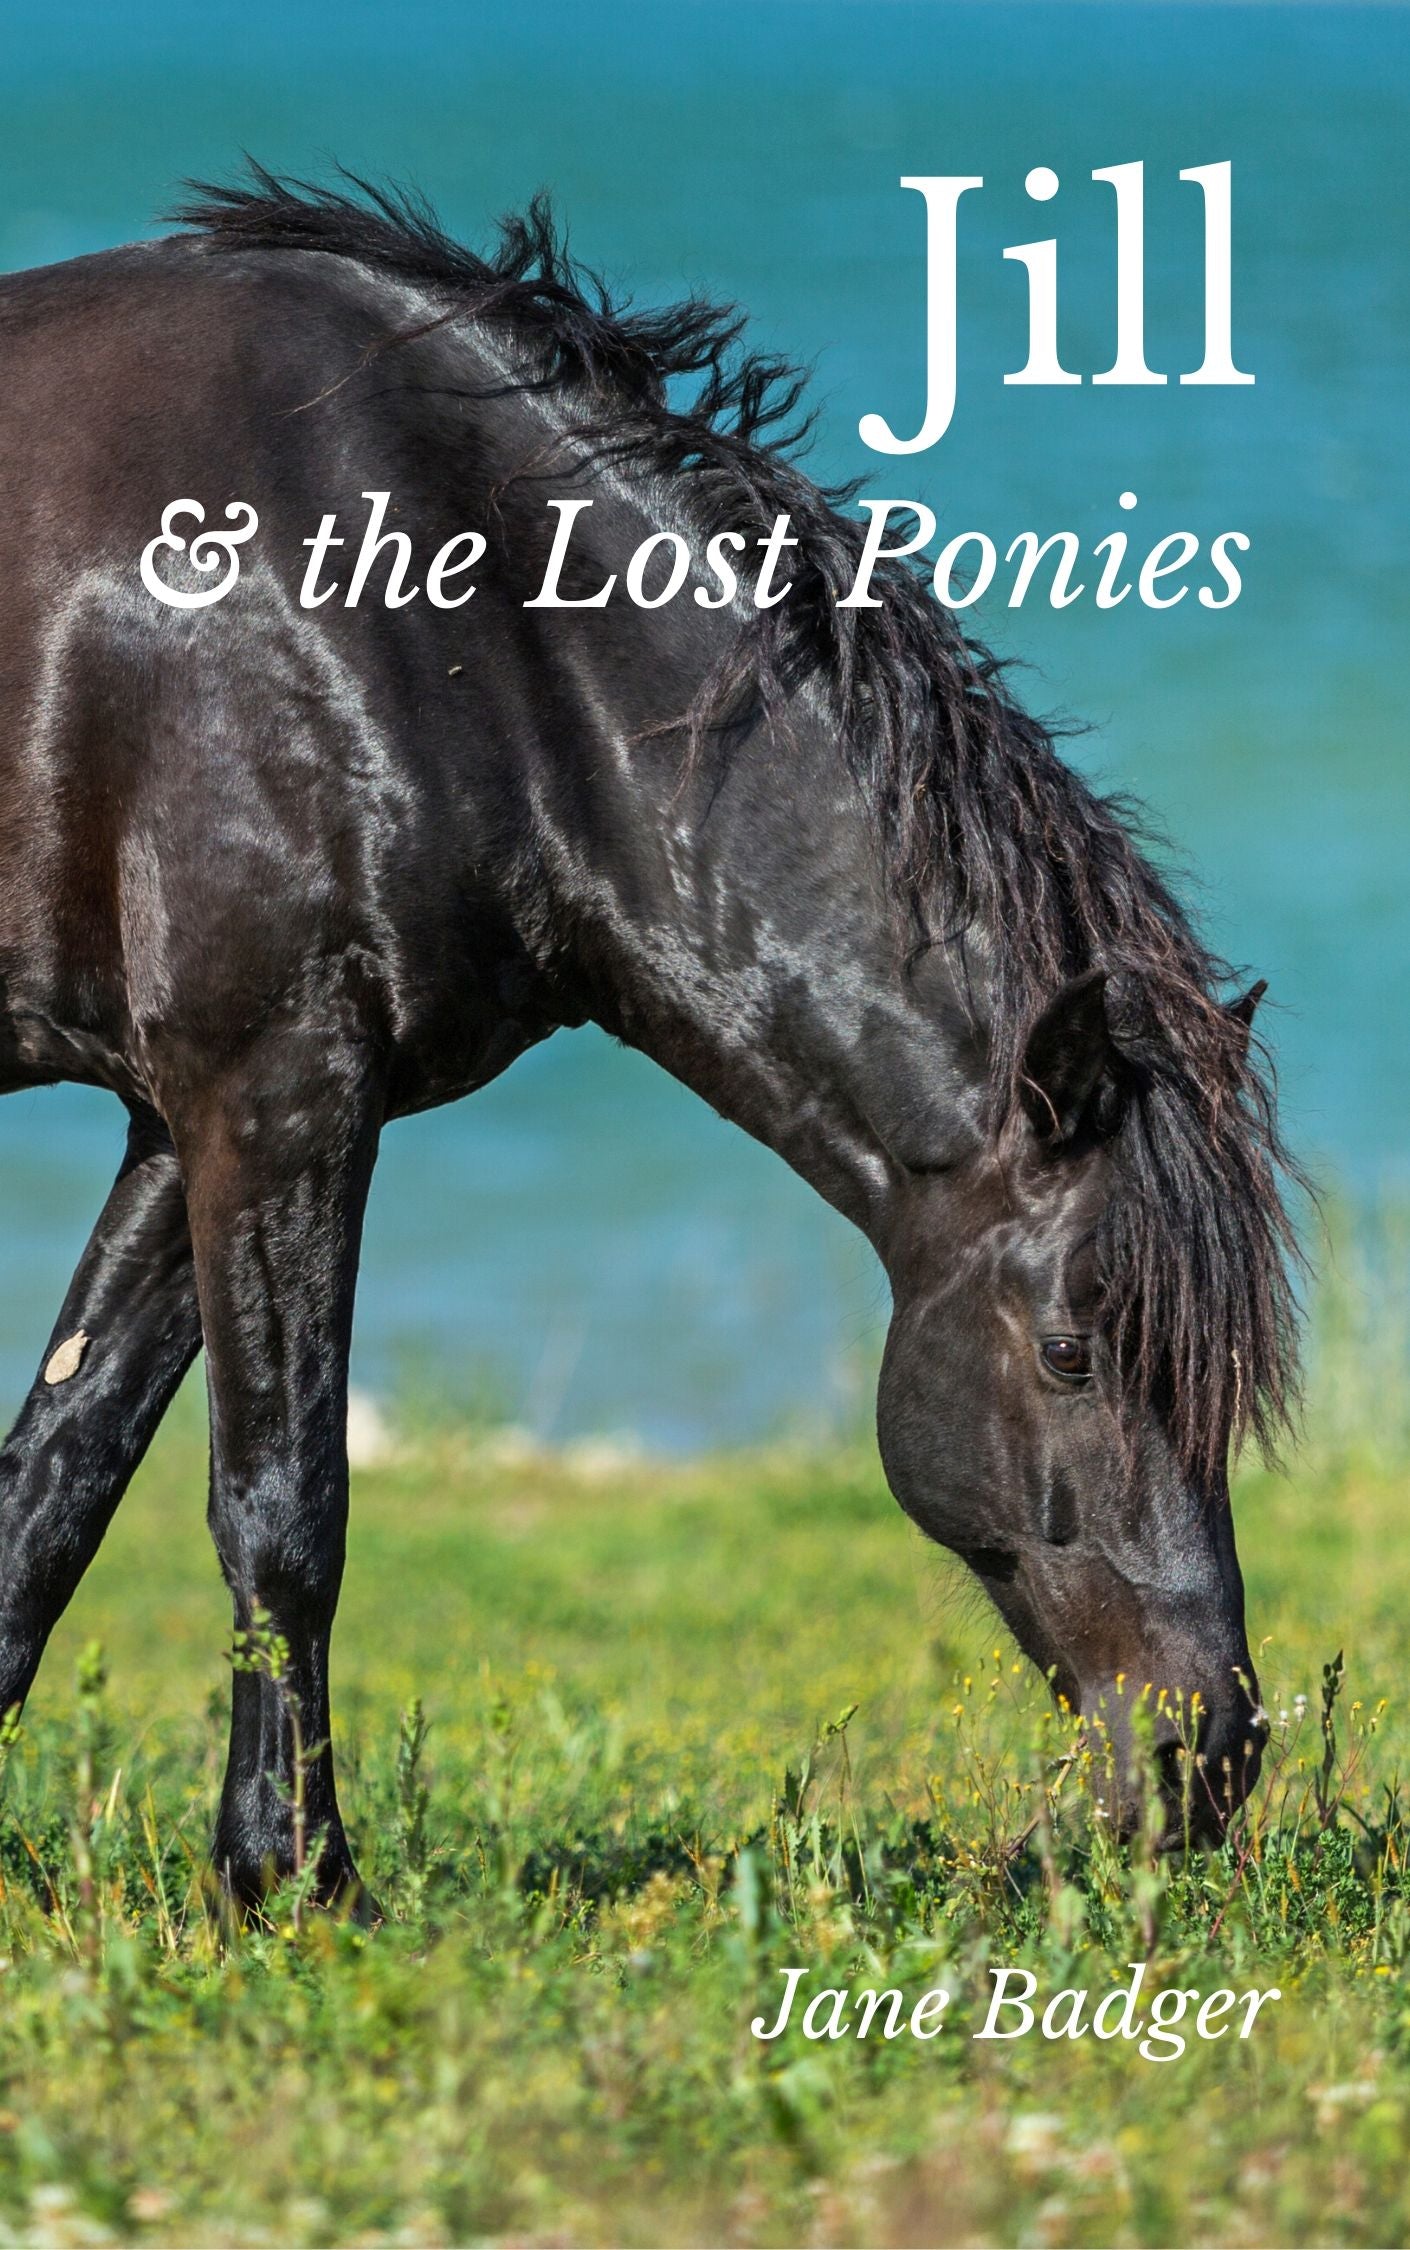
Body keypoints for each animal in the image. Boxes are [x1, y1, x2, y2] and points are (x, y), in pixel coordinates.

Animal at [0, 169, 1301, 1907]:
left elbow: (55, 1478)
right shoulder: (270, 1094)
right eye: (1072, 1351)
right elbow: (282, 1505)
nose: (1202, 1759)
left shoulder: (181, 1117)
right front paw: (296, 1879)